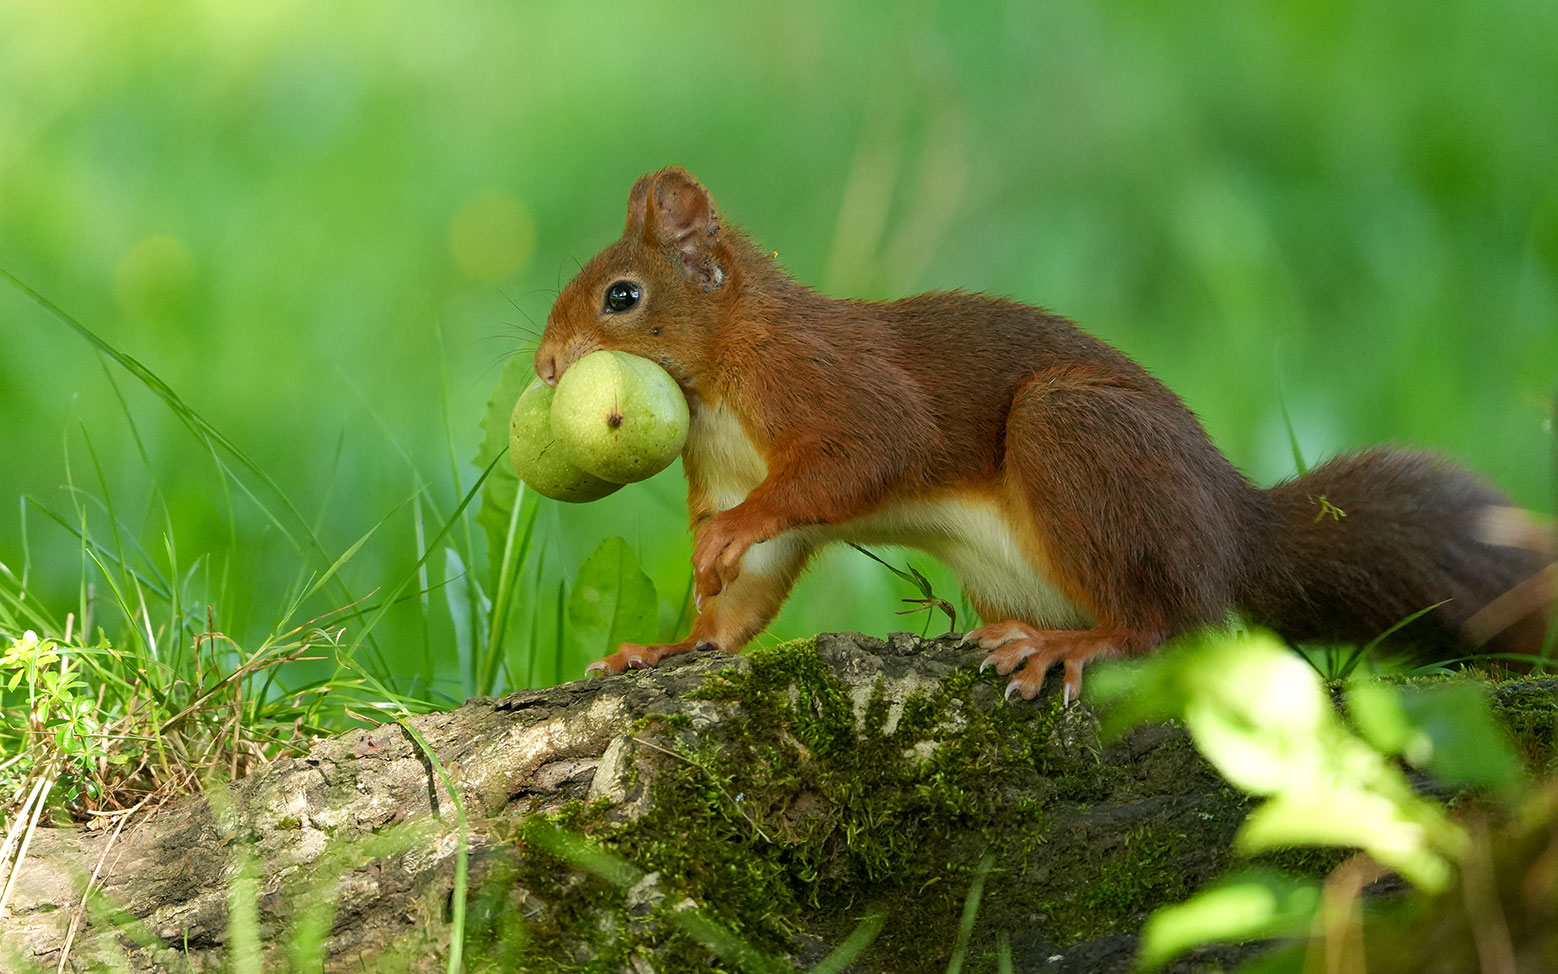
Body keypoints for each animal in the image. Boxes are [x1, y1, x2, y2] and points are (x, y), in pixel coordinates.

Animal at [533, 167, 1553, 702]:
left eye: (622, 296)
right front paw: (667, 649)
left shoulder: (828, 383)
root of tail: (1232, 532)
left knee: (1171, 623)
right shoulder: (726, 465)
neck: (716, 387)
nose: (545, 366)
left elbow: (867, 453)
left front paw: (734, 532)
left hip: (1075, 432)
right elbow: (739, 607)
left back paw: (1080, 646)